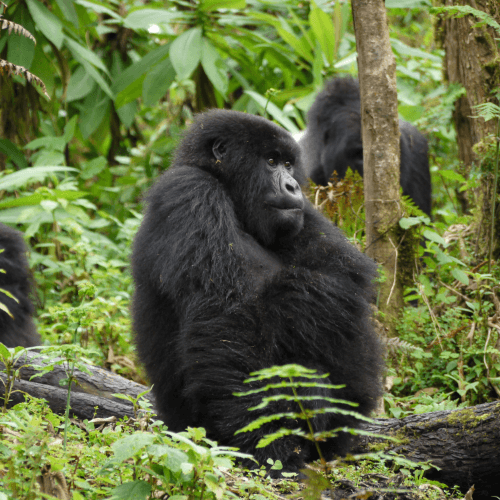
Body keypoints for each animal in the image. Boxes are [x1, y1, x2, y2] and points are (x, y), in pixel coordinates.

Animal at [131, 108, 384, 472]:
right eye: (271, 161)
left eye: (289, 164)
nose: (293, 185)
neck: (227, 189)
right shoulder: (190, 191)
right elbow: (225, 316)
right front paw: (266, 442)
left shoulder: (300, 215)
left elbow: (344, 275)